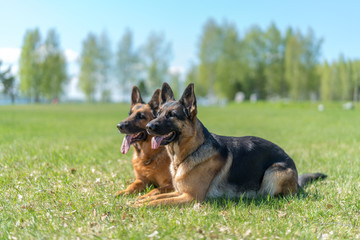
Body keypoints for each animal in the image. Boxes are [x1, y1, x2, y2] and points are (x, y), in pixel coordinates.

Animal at [134, 83, 328, 206]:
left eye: (172, 115)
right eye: (158, 113)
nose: (149, 127)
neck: (191, 151)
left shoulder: (190, 197)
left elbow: (159, 201)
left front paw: (135, 206)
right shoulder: (179, 192)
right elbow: (155, 196)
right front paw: (138, 200)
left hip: (273, 172)